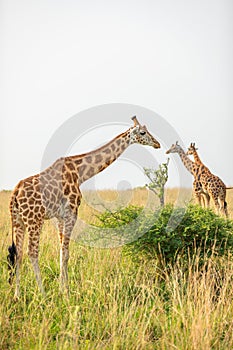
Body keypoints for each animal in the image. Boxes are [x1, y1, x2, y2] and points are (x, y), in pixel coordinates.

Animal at [7, 117, 160, 298]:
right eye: (142, 132)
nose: (157, 144)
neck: (80, 173)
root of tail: (15, 194)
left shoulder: (60, 216)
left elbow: (62, 252)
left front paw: (62, 289)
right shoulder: (71, 212)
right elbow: (66, 253)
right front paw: (66, 292)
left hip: (18, 221)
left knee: (18, 253)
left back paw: (17, 295)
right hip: (34, 220)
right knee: (31, 252)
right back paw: (43, 295)